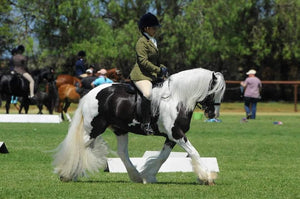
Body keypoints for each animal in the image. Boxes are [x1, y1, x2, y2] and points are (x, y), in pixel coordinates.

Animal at [52, 67, 225, 184]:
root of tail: (90, 94)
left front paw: (149, 175)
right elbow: (194, 152)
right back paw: (68, 174)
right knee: (81, 146)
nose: (213, 114)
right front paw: (208, 177)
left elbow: (163, 157)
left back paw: (135, 176)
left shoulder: (171, 137)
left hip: (120, 130)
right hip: (94, 129)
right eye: (213, 91)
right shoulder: (176, 133)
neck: (176, 98)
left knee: (121, 152)